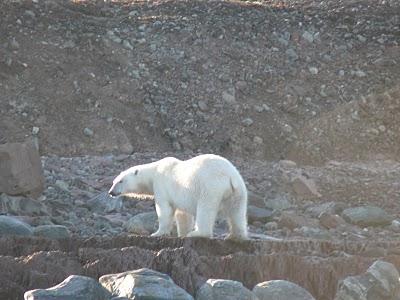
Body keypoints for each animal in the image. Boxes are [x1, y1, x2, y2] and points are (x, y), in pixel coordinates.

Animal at [108, 155, 248, 239]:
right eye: (113, 181)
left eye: (120, 181)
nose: (111, 192)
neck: (154, 172)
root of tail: (230, 177)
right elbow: (183, 214)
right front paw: (182, 233)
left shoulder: (161, 185)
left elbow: (164, 210)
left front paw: (157, 233)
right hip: (239, 192)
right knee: (237, 212)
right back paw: (236, 236)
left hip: (210, 187)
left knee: (205, 209)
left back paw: (197, 233)